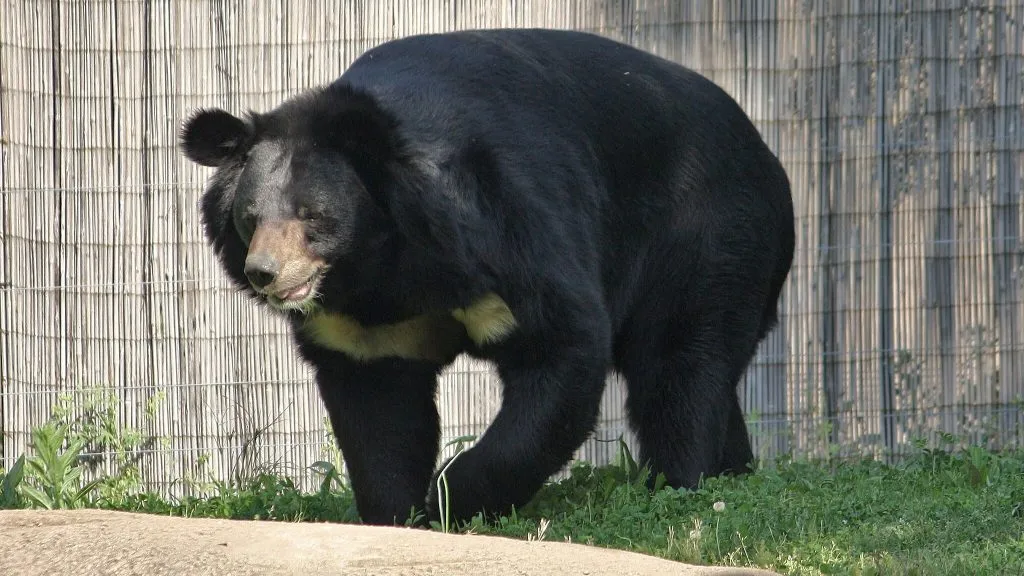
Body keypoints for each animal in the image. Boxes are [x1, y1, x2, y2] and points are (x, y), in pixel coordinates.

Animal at [179, 27, 795, 528]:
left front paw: (450, 497)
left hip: (706, 233)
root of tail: (766, 153)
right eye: (250, 218)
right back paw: (734, 472)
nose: (265, 274)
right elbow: (378, 409)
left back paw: (679, 483)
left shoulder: (504, 228)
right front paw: (399, 515)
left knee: (679, 362)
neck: (383, 264)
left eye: (312, 217)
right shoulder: (361, 323)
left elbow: (562, 346)